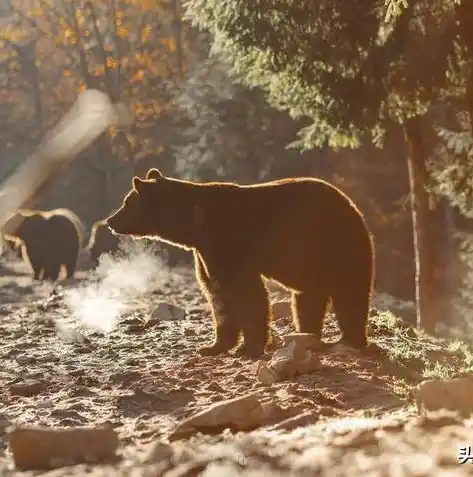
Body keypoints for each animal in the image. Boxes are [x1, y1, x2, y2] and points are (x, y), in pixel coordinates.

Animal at [106, 167, 372, 356]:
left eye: (126, 202)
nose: (110, 220)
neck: (195, 227)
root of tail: (353, 206)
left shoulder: (229, 244)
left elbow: (247, 294)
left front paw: (249, 347)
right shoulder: (206, 253)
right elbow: (218, 295)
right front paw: (213, 346)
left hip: (335, 245)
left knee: (350, 292)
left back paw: (350, 340)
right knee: (307, 299)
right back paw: (307, 334)